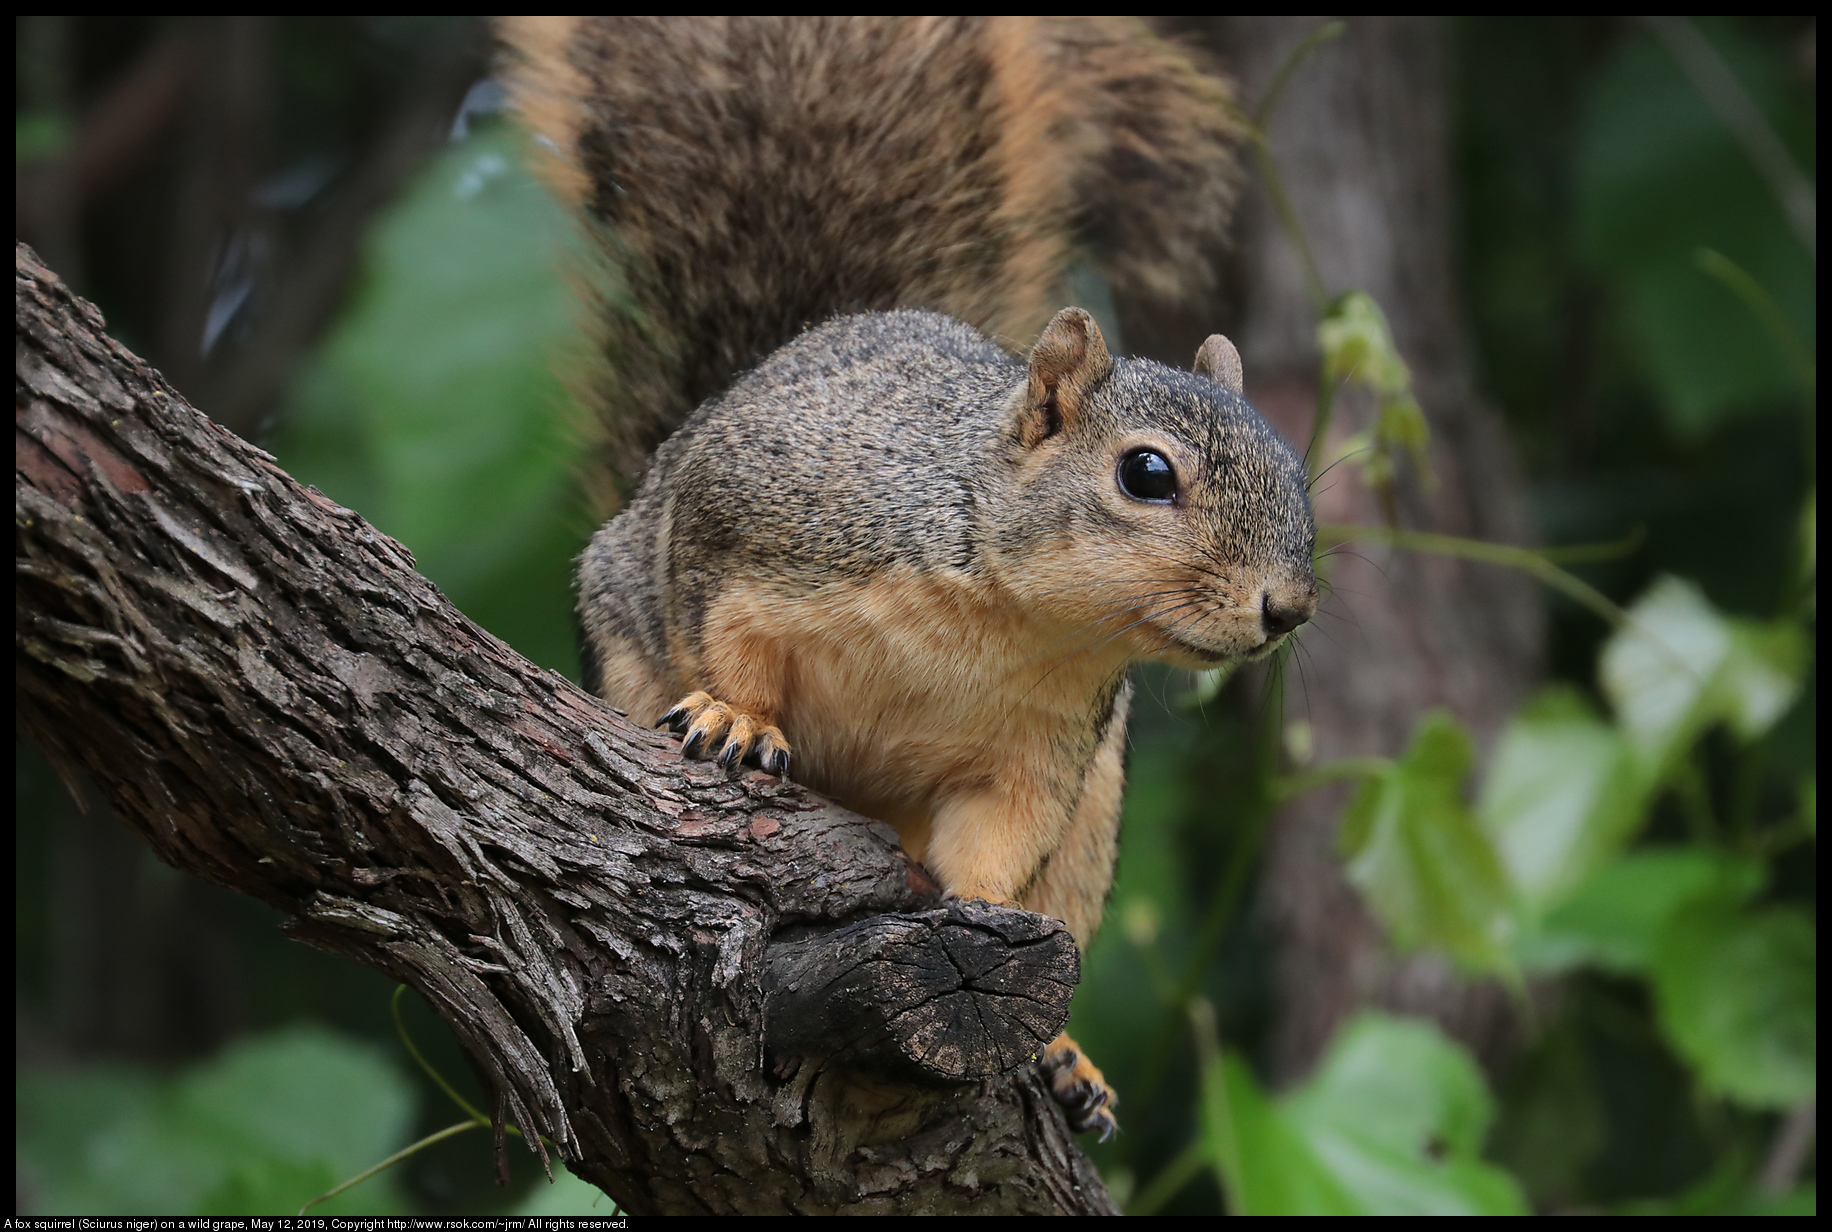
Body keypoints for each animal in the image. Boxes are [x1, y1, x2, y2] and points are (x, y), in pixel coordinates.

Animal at [501, 19, 1319, 1144]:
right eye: (1146, 474)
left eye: (1295, 469)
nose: (1287, 607)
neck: (1011, 617)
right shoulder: (749, 532)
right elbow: (725, 636)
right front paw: (735, 717)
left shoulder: (1040, 752)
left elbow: (997, 843)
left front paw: (981, 916)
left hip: (1095, 819)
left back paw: (1064, 1058)